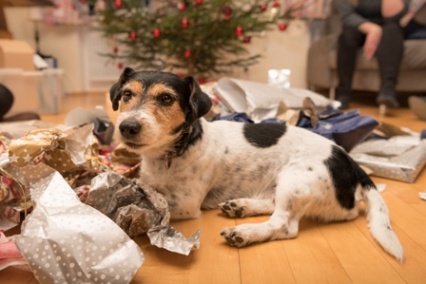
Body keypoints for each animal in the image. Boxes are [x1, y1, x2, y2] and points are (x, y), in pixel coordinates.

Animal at [110, 68, 402, 262]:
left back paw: (246, 233)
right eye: (126, 94)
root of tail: (351, 163)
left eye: (166, 99)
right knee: (272, 205)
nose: (127, 127)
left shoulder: (185, 203)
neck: (173, 152)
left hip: (296, 179)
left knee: (284, 225)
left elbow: (153, 204)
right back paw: (240, 207)